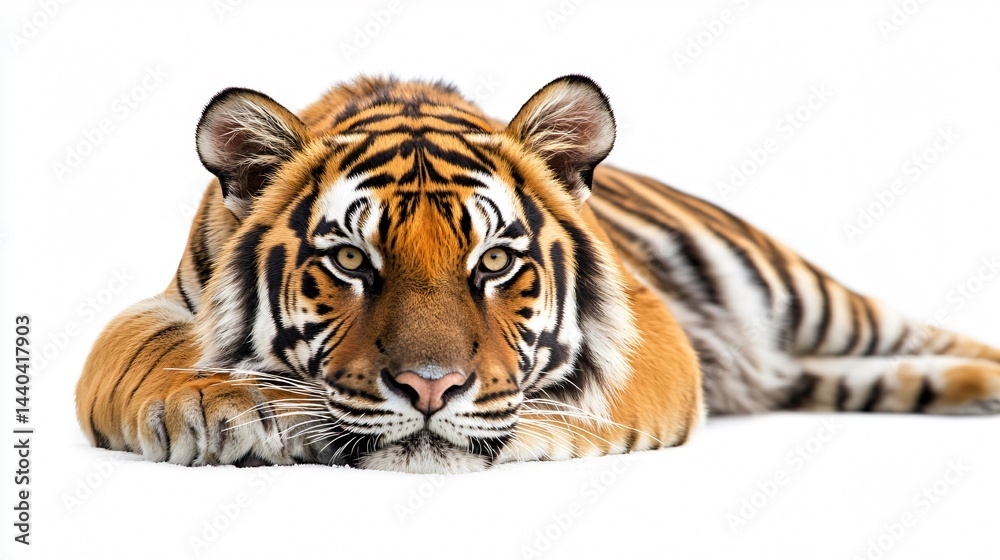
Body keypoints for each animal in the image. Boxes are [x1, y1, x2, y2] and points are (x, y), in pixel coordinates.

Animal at [76, 74, 1000, 474]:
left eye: (494, 262)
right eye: (349, 261)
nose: (430, 389)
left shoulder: (650, 329)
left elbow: (577, 402)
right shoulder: (160, 304)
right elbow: (127, 352)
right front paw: (211, 406)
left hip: (812, 298)